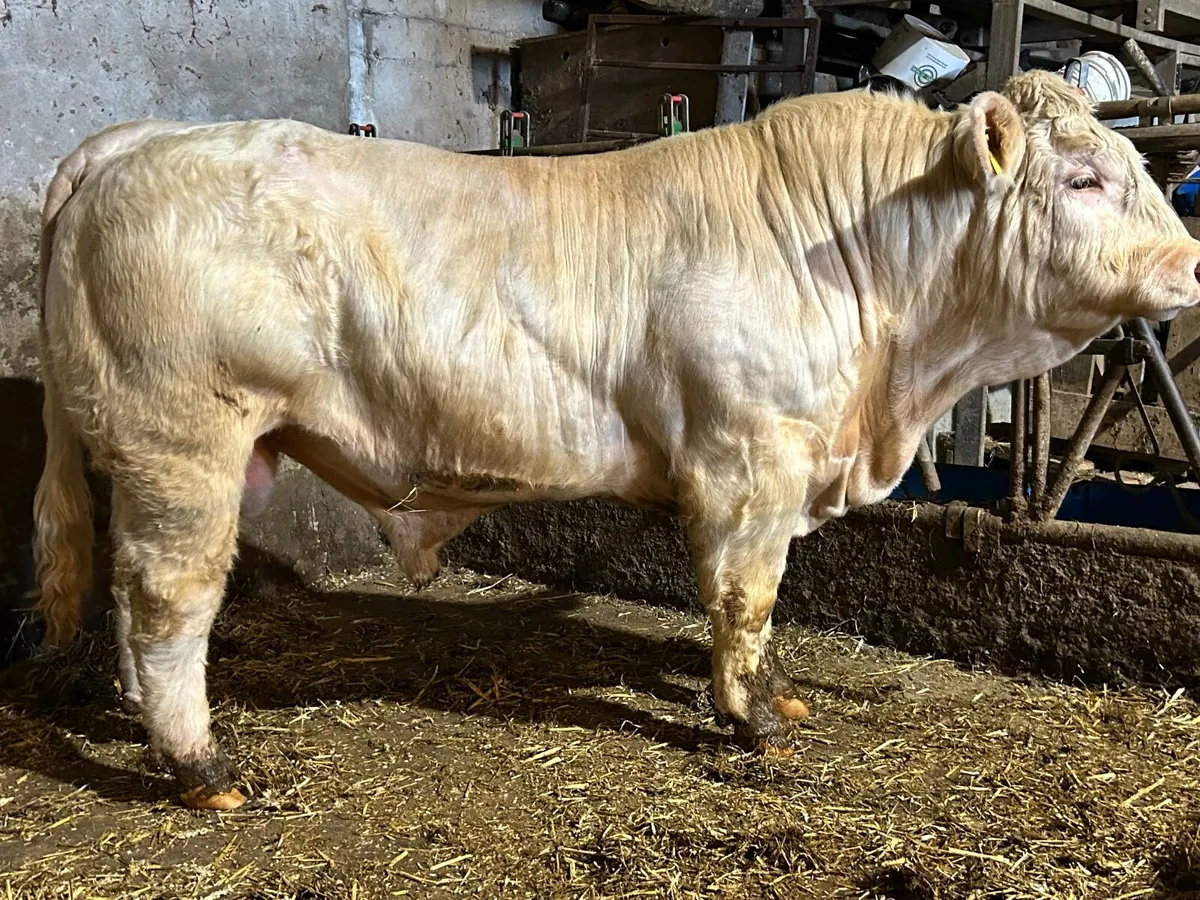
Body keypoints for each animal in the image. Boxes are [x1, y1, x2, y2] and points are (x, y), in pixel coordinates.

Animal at [33, 71, 1200, 810]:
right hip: (184, 444)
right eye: (1086, 179)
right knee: (168, 600)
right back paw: (201, 767)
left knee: (130, 598)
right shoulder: (746, 462)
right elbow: (745, 599)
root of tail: (137, 139)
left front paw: (777, 694)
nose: (1190, 262)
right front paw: (752, 721)